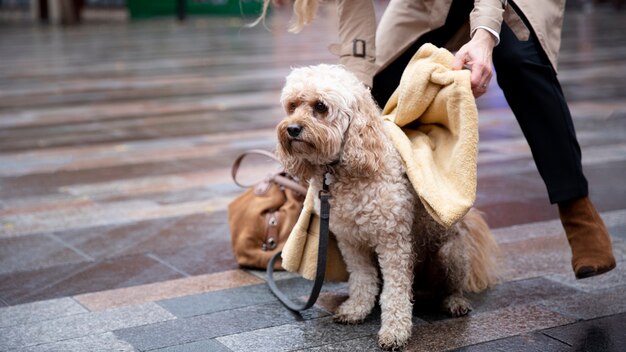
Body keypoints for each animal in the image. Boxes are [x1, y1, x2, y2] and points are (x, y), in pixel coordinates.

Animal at [272, 64, 498, 350]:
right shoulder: (351, 242)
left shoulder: (393, 243)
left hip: (450, 253)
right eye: (292, 105)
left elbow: (396, 292)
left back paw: (455, 302)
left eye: (320, 107)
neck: (346, 171)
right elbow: (362, 279)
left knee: (452, 286)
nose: (291, 128)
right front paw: (356, 309)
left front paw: (395, 331)